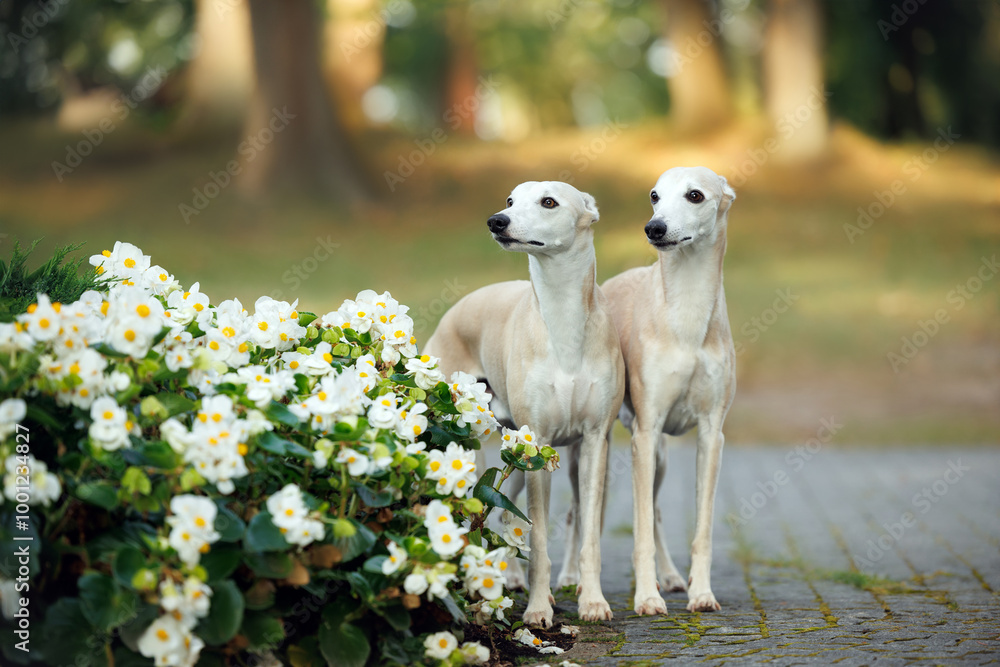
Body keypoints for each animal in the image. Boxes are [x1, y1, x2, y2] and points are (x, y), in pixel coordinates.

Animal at [424, 181, 624, 628]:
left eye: (549, 201)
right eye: (511, 200)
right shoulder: (539, 444)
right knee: (490, 510)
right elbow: (539, 537)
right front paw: (537, 610)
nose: (497, 221)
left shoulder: (594, 441)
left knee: (502, 511)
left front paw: (592, 602)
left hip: (516, 457)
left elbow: (588, 534)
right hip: (485, 453)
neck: (563, 317)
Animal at [600, 166, 736, 616]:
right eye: (654, 195)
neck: (687, 316)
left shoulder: (711, 435)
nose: (654, 228)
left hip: (658, 456)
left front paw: (701, 593)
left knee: (657, 511)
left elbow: (701, 529)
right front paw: (646, 597)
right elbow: (639, 530)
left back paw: (673, 576)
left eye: (695, 195)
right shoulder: (644, 433)